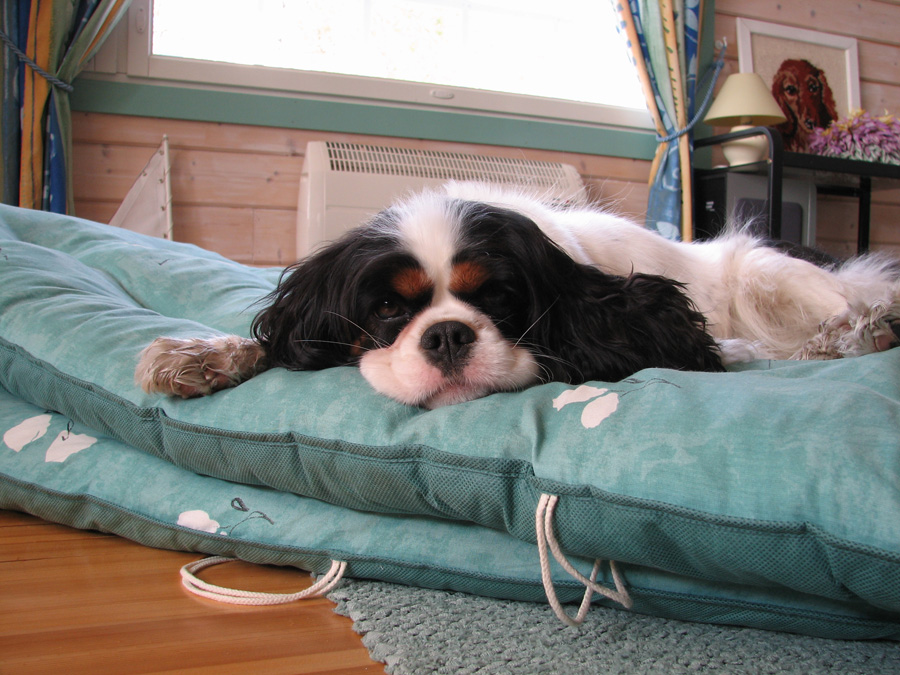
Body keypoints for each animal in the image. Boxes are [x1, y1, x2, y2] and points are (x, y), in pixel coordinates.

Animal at [135, 182, 900, 410]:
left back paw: (860, 328)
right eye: (387, 309)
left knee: (828, 312)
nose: (447, 334)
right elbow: (271, 342)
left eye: (498, 298)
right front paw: (201, 355)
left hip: (765, 271)